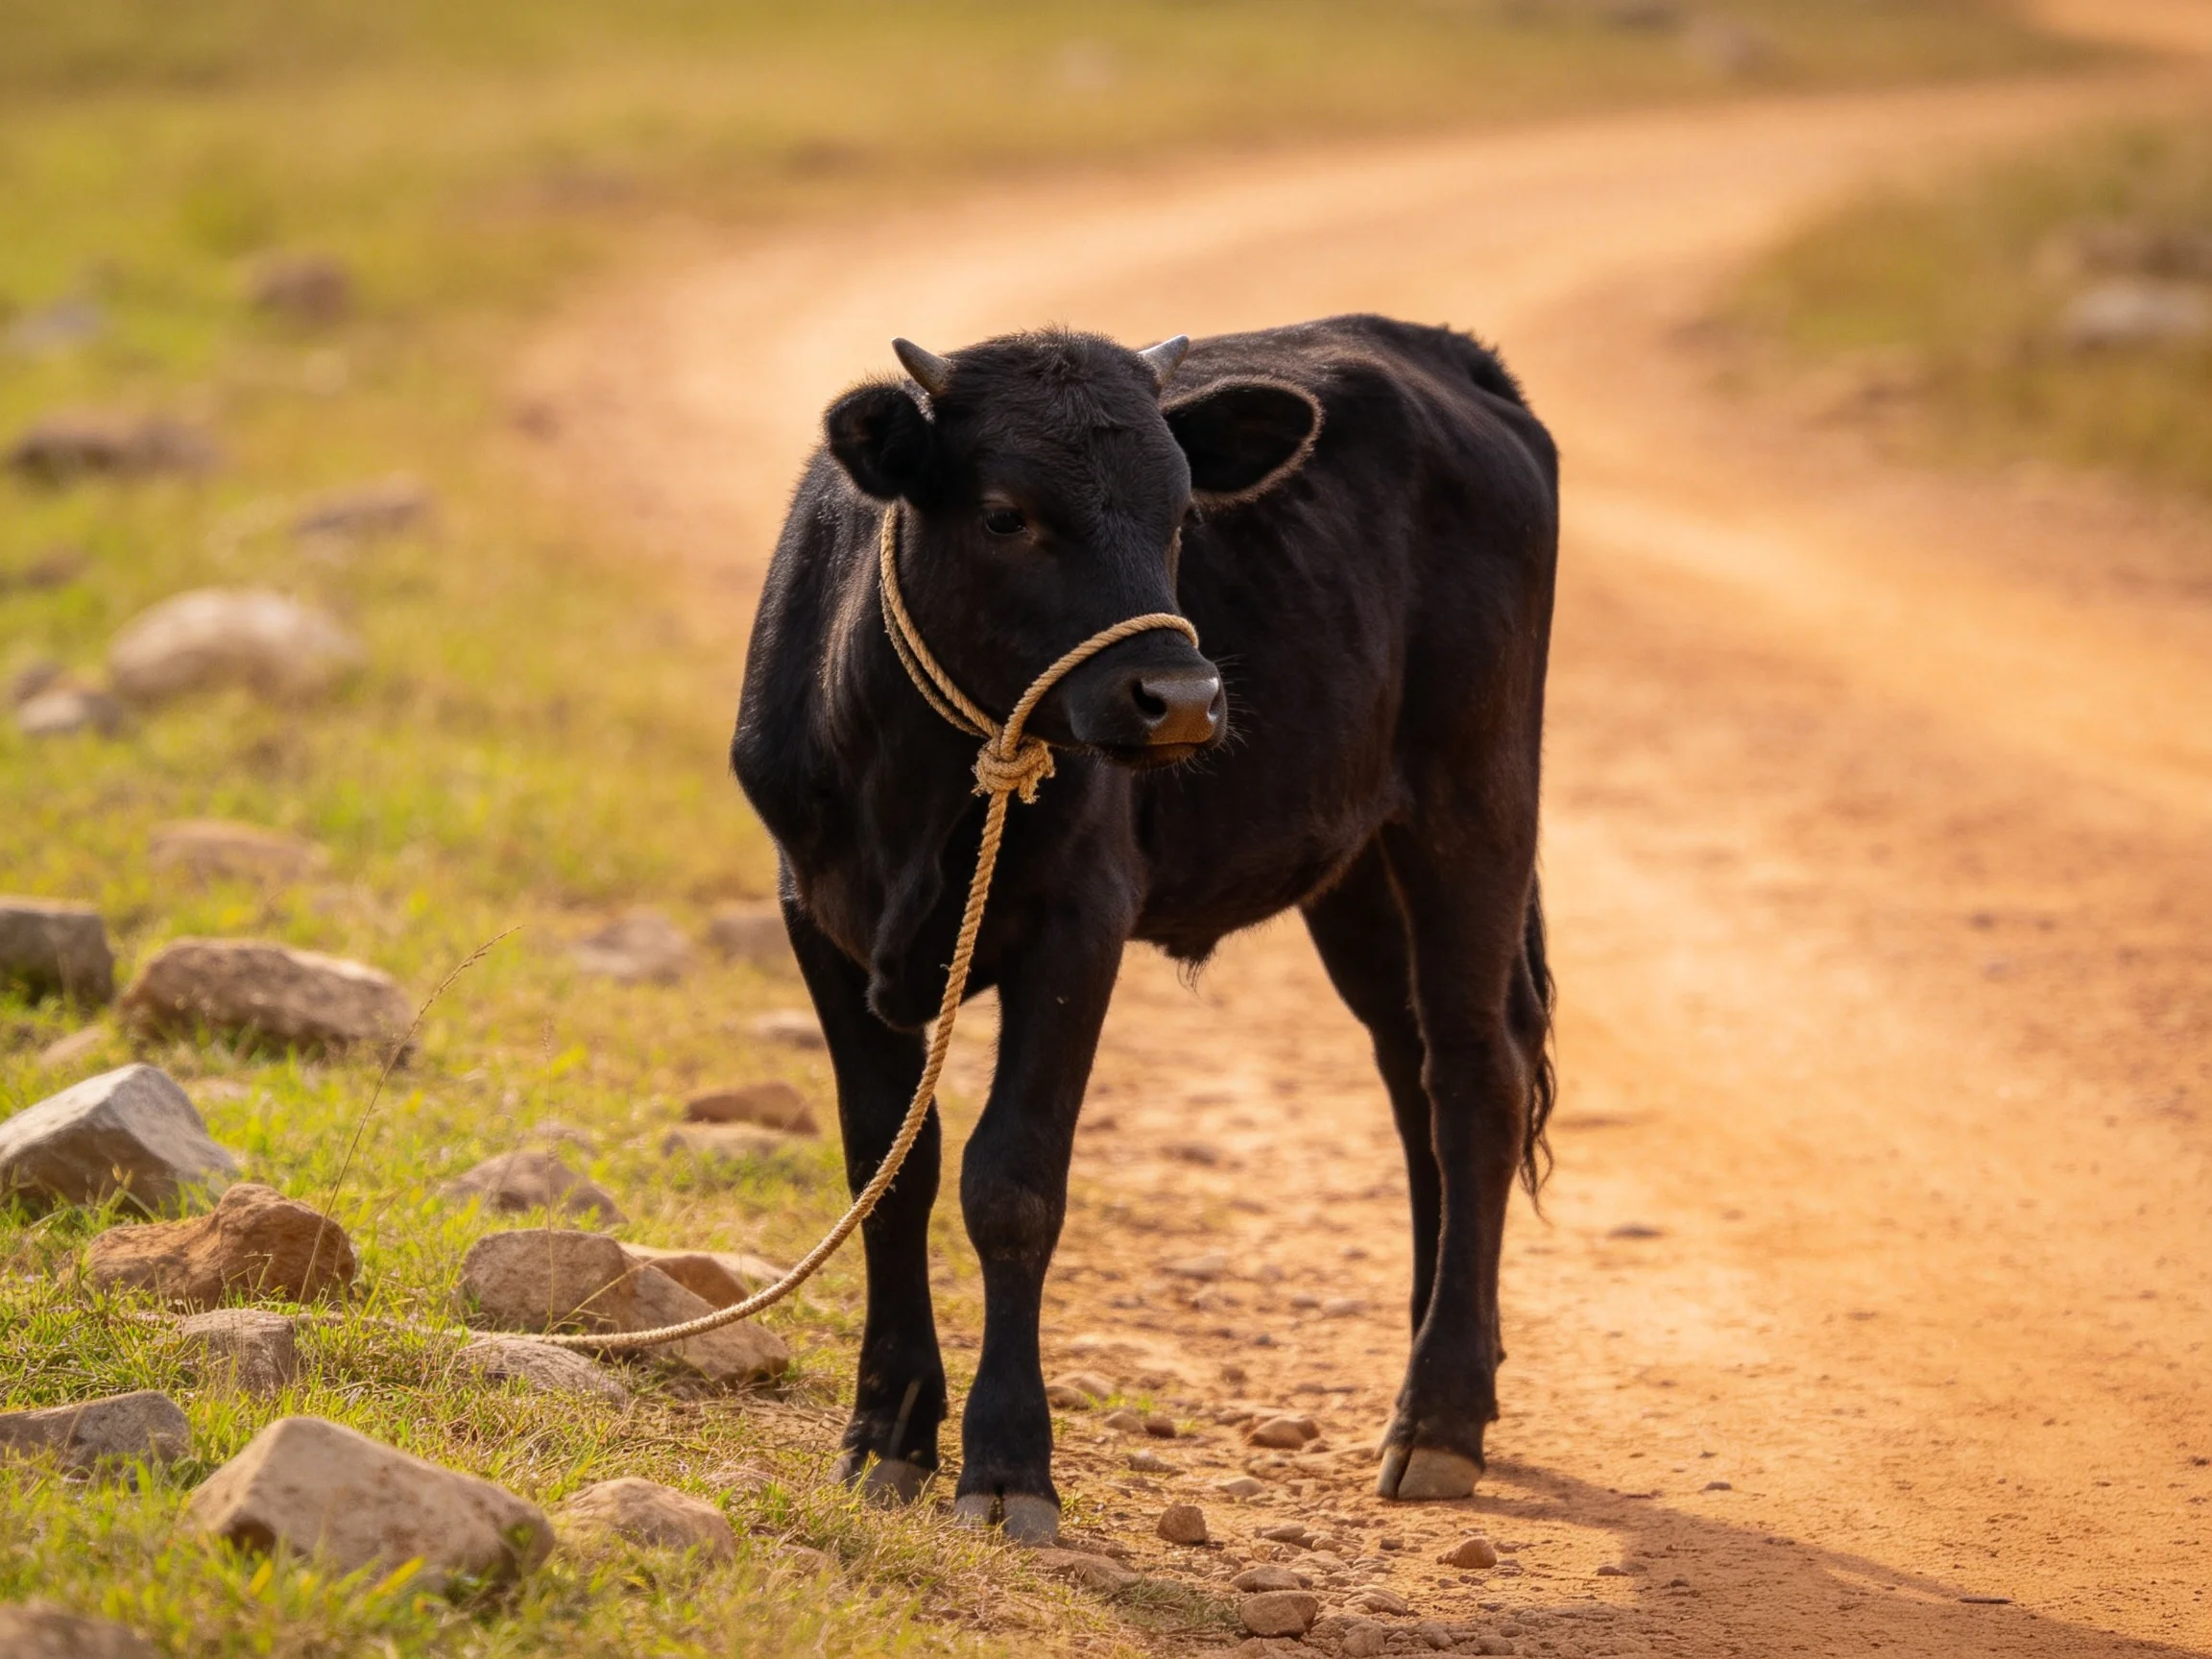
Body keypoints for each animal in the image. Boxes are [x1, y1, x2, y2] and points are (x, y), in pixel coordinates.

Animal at [732, 314, 1557, 1544]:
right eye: (1005, 513)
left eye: (1179, 516)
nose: (1182, 699)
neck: (915, 782)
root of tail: (1438, 349)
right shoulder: (818, 918)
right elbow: (888, 1168)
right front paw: (886, 1432)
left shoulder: (1081, 920)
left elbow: (1012, 1184)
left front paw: (1008, 1465)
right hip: (1359, 866)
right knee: (1412, 1075)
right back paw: (1449, 1359)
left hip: (1475, 802)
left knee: (1474, 1078)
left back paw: (1441, 1413)